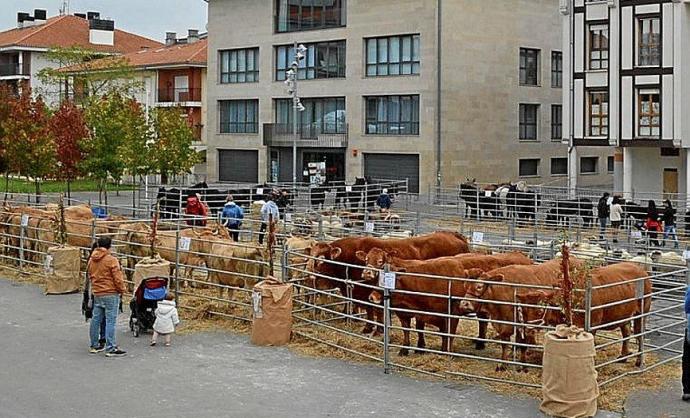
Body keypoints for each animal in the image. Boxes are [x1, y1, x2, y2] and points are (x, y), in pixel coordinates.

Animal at [306, 230, 468, 334]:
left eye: (321, 259)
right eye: (310, 255)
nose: (308, 272)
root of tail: (452, 234)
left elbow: (373, 308)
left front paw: (374, 328)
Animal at [366, 250, 532, 354]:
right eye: (377, 277)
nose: (372, 297)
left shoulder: (451, 314)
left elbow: (448, 334)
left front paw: (446, 352)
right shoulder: (409, 313)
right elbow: (409, 330)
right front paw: (406, 349)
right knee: (483, 321)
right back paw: (480, 342)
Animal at [516, 262, 652, 366]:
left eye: (539, 310)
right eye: (524, 309)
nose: (528, 330)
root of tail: (640, 269)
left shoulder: (592, 325)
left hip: (643, 311)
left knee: (640, 335)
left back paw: (639, 361)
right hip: (624, 314)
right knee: (626, 332)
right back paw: (623, 356)